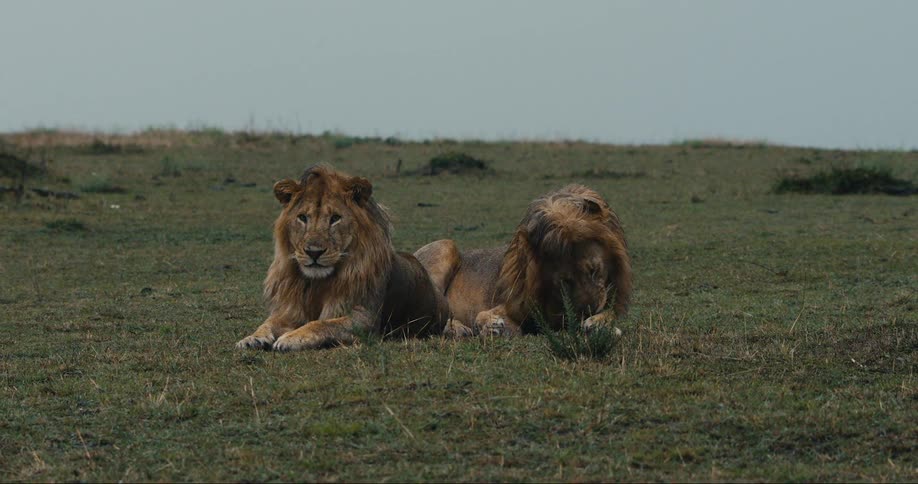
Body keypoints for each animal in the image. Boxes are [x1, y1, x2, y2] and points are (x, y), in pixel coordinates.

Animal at [235, 164, 451, 351]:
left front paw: (291, 337)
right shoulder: (289, 311)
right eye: (302, 217)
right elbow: (268, 323)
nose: (313, 252)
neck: (316, 284)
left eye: (335, 218)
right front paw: (251, 338)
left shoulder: (365, 319)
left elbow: (322, 324)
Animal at [415, 184, 631, 337]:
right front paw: (492, 326)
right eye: (565, 281)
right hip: (445, 245)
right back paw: (457, 329)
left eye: (594, 270)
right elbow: (481, 315)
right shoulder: (511, 304)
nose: (588, 311)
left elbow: (609, 314)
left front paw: (599, 324)